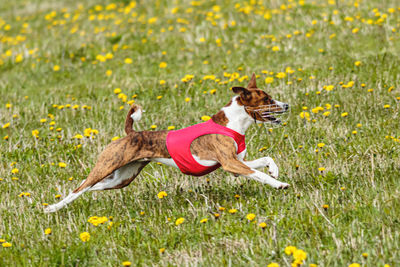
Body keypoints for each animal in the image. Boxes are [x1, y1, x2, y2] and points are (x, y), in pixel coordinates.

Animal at [43, 74, 290, 215]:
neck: (233, 123)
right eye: (267, 100)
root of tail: (131, 133)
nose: (286, 105)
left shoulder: (238, 163)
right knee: (79, 187)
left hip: (121, 178)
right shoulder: (230, 164)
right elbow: (259, 175)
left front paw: (274, 170)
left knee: (90, 187)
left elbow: (266, 160)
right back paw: (51, 208)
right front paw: (279, 184)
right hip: (108, 165)